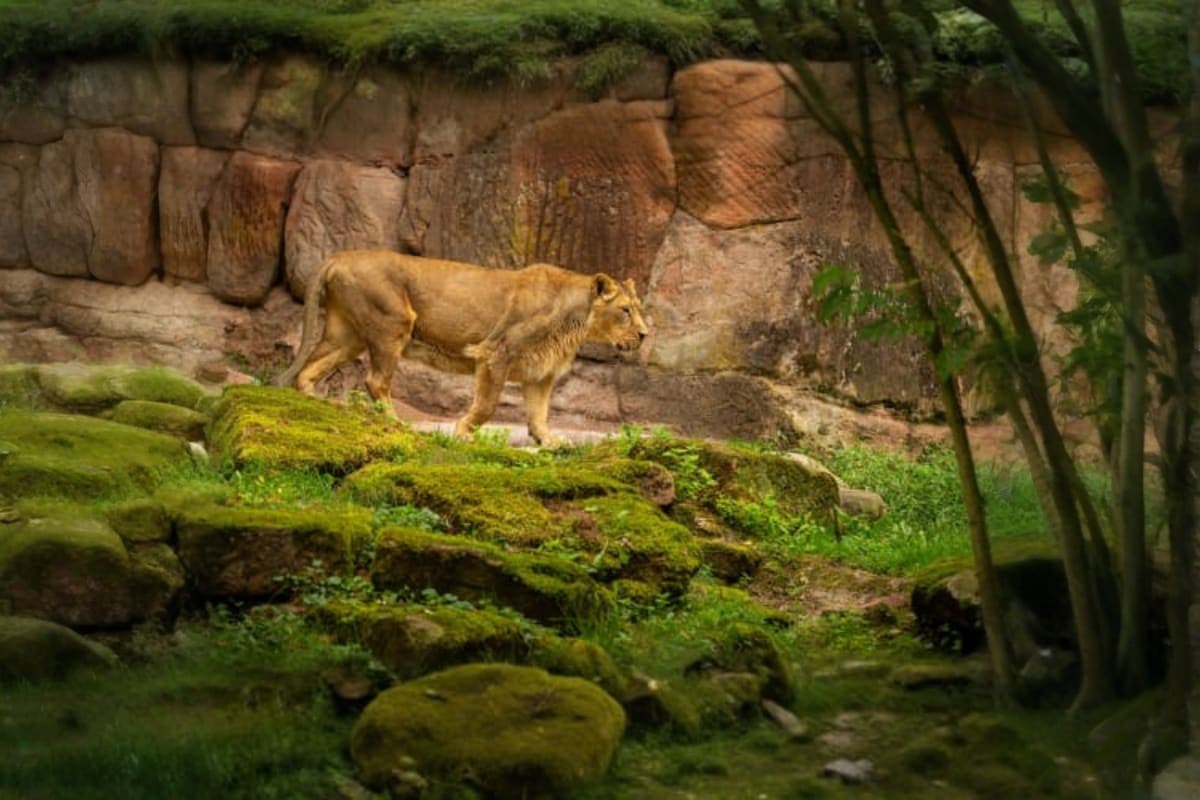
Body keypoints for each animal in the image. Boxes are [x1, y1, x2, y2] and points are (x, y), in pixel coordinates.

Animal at [274, 250, 649, 445]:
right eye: (625, 310)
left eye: (638, 308)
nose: (645, 334)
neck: (575, 319)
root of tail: (339, 256)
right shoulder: (497, 352)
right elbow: (487, 405)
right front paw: (463, 433)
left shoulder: (540, 374)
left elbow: (539, 414)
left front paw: (550, 443)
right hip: (393, 324)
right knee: (376, 381)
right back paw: (397, 424)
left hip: (347, 336)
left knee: (308, 369)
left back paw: (317, 404)